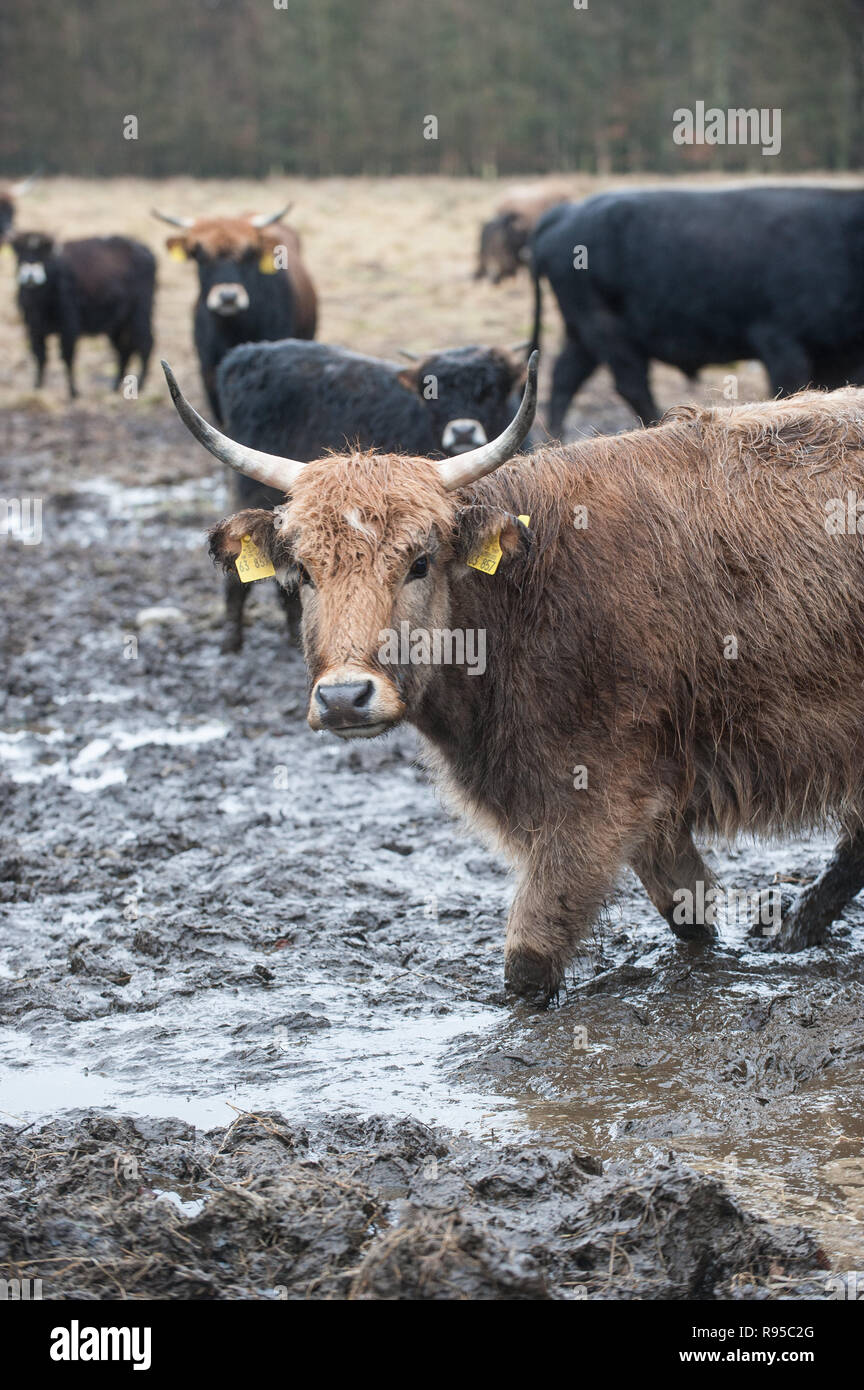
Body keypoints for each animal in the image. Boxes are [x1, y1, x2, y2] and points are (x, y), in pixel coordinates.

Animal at [11, 232, 156, 397]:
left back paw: (141, 383)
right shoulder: (33, 328)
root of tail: (146, 251)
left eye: (44, 254)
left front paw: (73, 392)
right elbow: (40, 356)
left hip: (140, 314)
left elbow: (67, 357)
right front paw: (38, 387)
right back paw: (115, 386)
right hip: (117, 324)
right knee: (124, 350)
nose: (30, 276)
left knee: (145, 343)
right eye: (19, 254)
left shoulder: (69, 326)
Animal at [530, 186, 864, 433]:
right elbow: (791, 392)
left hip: (582, 335)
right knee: (631, 385)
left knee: (564, 377)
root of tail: (568, 212)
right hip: (606, 332)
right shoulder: (781, 345)